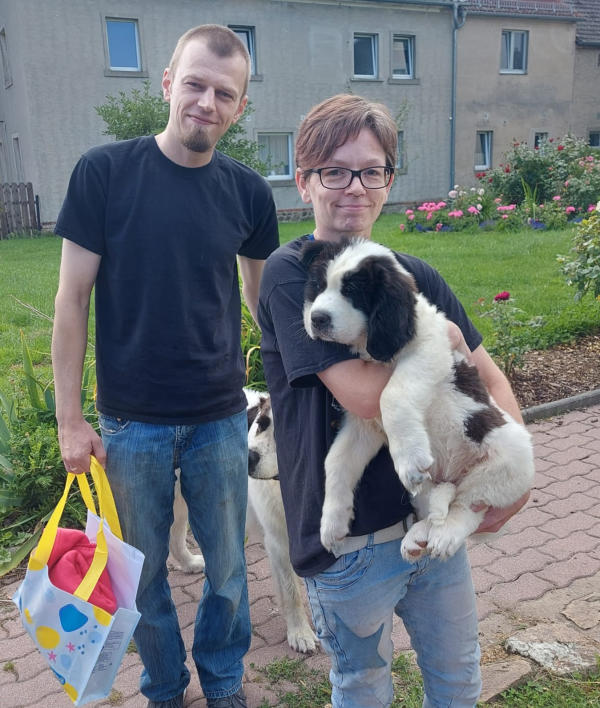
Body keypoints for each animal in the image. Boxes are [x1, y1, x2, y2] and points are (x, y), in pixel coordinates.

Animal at [168, 388, 318, 654]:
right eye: (261, 424)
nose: (248, 458)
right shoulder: (280, 543)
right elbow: (291, 592)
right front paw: (300, 633)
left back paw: (190, 563)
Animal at [300, 237, 535, 561]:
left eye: (352, 291)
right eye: (317, 285)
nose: (317, 319)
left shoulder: (429, 349)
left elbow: (393, 395)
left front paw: (409, 459)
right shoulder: (363, 424)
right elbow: (336, 461)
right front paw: (332, 523)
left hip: (507, 463)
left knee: (468, 505)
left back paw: (444, 534)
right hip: (427, 489)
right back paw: (419, 536)